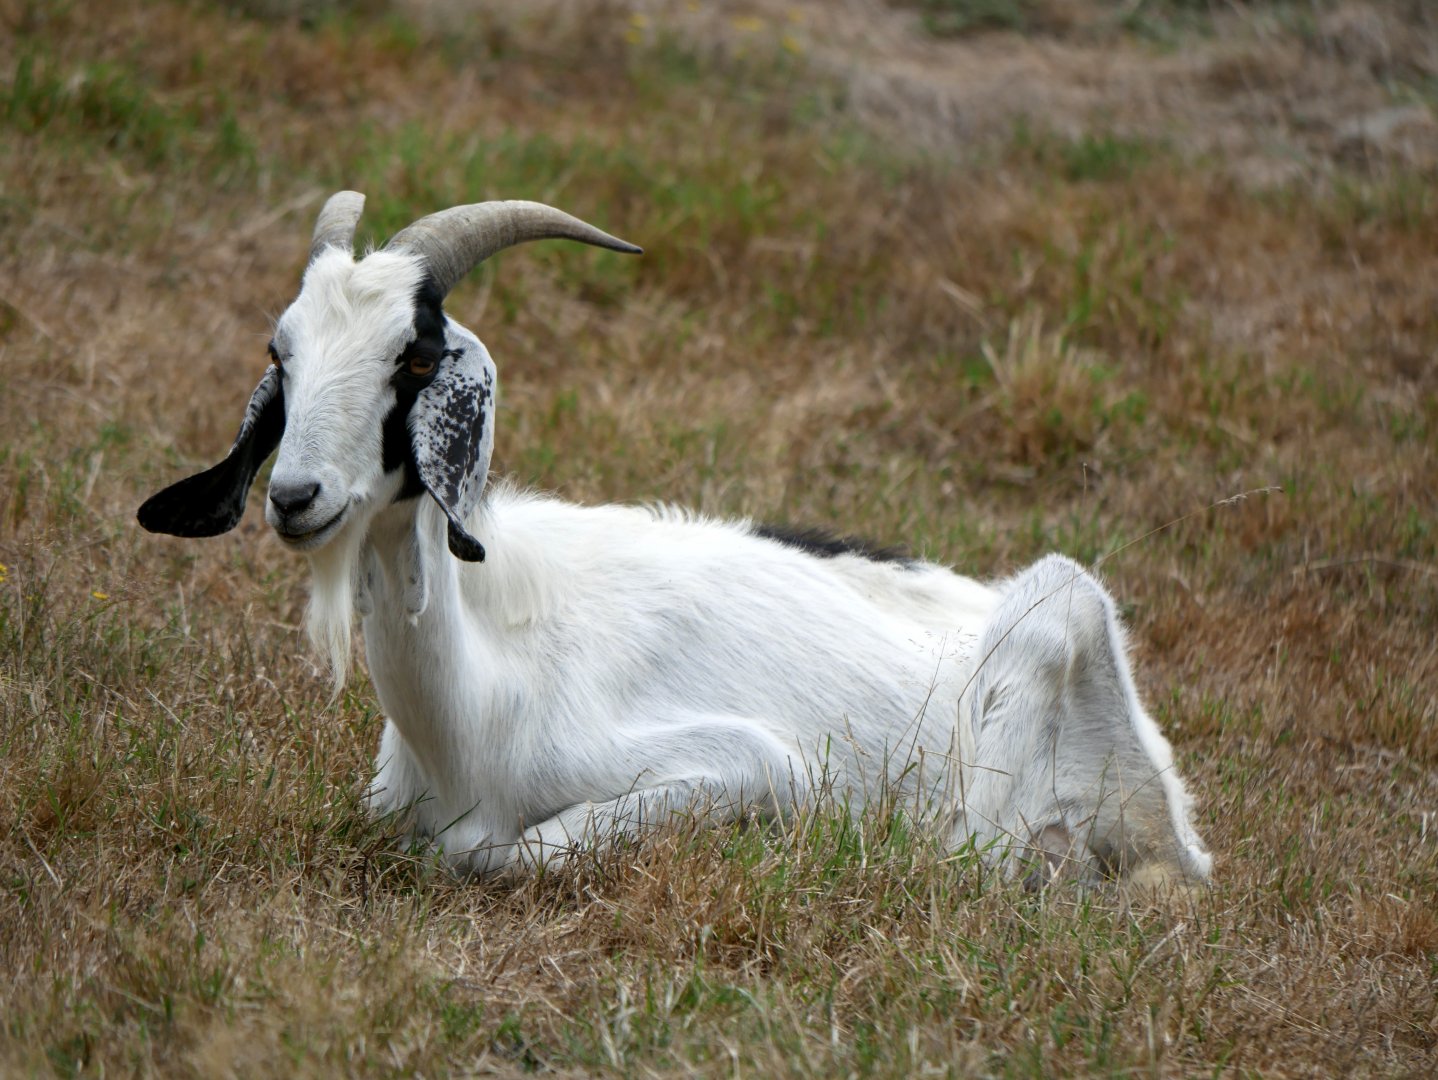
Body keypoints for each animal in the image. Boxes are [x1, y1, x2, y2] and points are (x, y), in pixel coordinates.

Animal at [139, 192, 1211, 887]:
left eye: (413, 357)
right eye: (281, 351)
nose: (296, 496)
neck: (471, 715)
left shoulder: (758, 768)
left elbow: (512, 851)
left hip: (1062, 612)